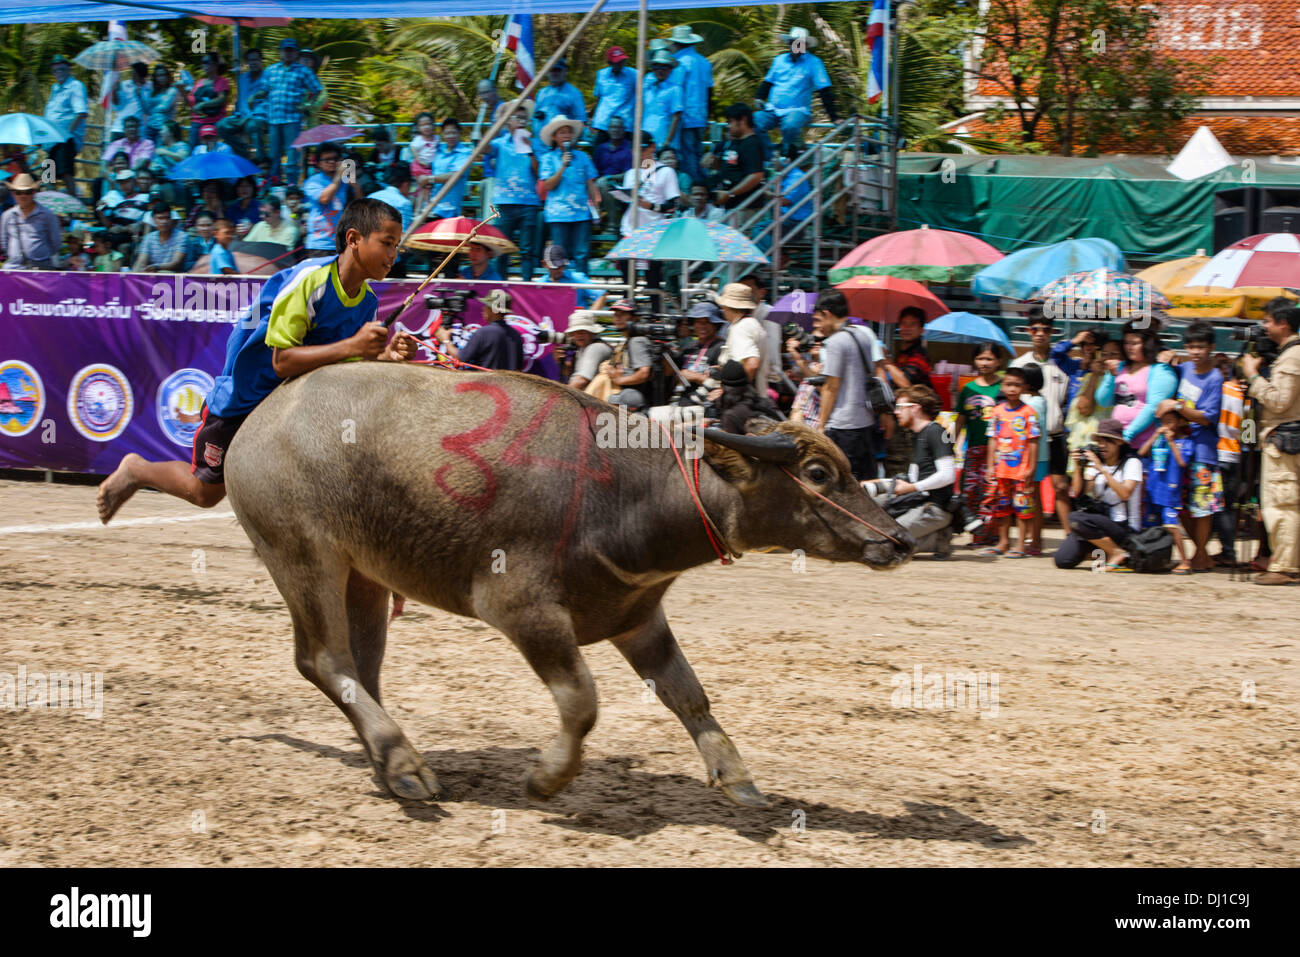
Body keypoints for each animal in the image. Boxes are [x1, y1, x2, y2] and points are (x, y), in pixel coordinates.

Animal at [226, 364, 915, 806]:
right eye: (818, 473)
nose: (899, 540)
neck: (620, 493)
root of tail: (255, 421)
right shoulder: (523, 610)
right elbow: (582, 700)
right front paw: (547, 780)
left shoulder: (638, 618)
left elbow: (690, 697)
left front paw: (737, 777)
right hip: (301, 555)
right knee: (323, 659)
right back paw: (404, 763)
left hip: (364, 574)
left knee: (362, 667)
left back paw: (390, 764)